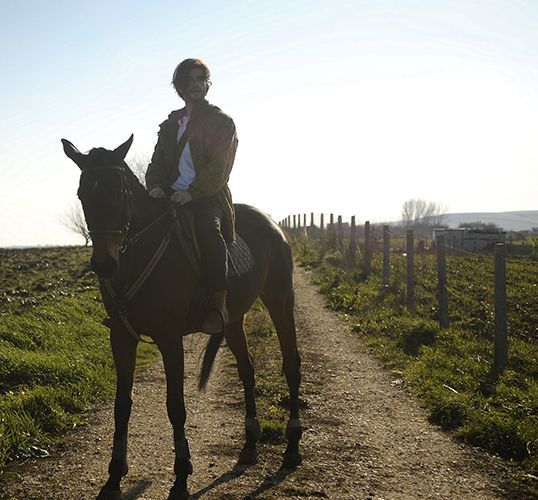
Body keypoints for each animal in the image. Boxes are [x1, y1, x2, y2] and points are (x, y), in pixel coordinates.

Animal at [61, 137, 302, 500]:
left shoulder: (169, 338)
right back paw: (249, 444)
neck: (138, 254)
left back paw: (292, 448)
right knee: (247, 370)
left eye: (120, 192)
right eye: (82, 194)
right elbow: (122, 404)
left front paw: (181, 476)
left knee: (292, 365)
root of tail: (272, 223)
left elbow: (175, 405)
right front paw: (114, 476)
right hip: (233, 321)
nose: (104, 264)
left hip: (280, 300)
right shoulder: (121, 337)